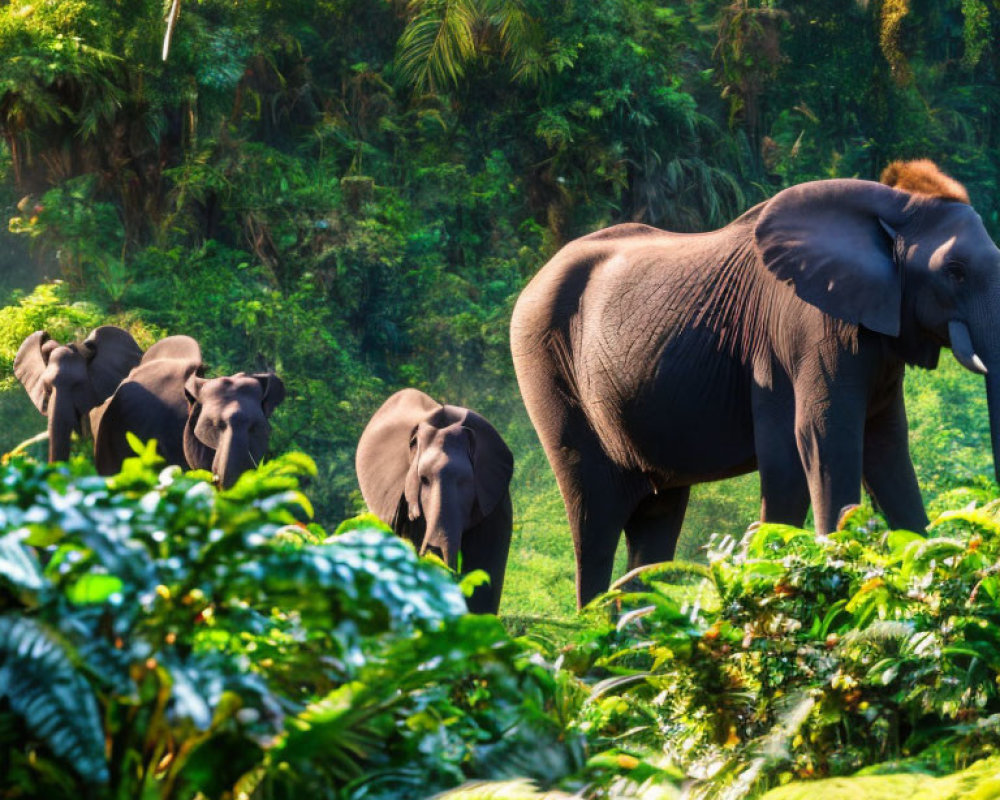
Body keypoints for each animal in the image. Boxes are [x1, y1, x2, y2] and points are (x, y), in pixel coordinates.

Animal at [512, 158, 1000, 608]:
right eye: (955, 271)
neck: (894, 203)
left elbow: (886, 448)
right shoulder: (807, 328)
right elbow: (815, 442)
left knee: (657, 516)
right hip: (544, 364)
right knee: (594, 518)